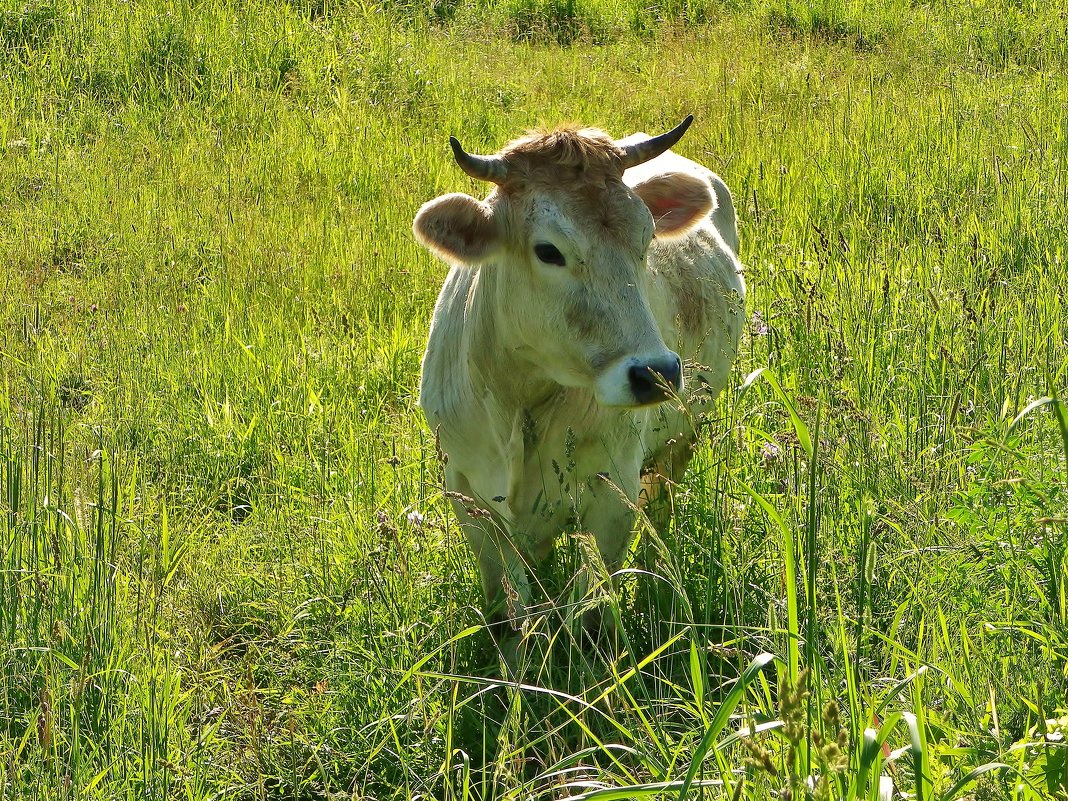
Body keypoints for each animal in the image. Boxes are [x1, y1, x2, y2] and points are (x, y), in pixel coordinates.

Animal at [407, 115, 743, 649]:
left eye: (647, 238)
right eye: (548, 251)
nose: (657, 374)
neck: (518, 399)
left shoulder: (612, 492)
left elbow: (589, 617)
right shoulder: (467, 493)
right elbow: (509, 613)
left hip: (681, 439)